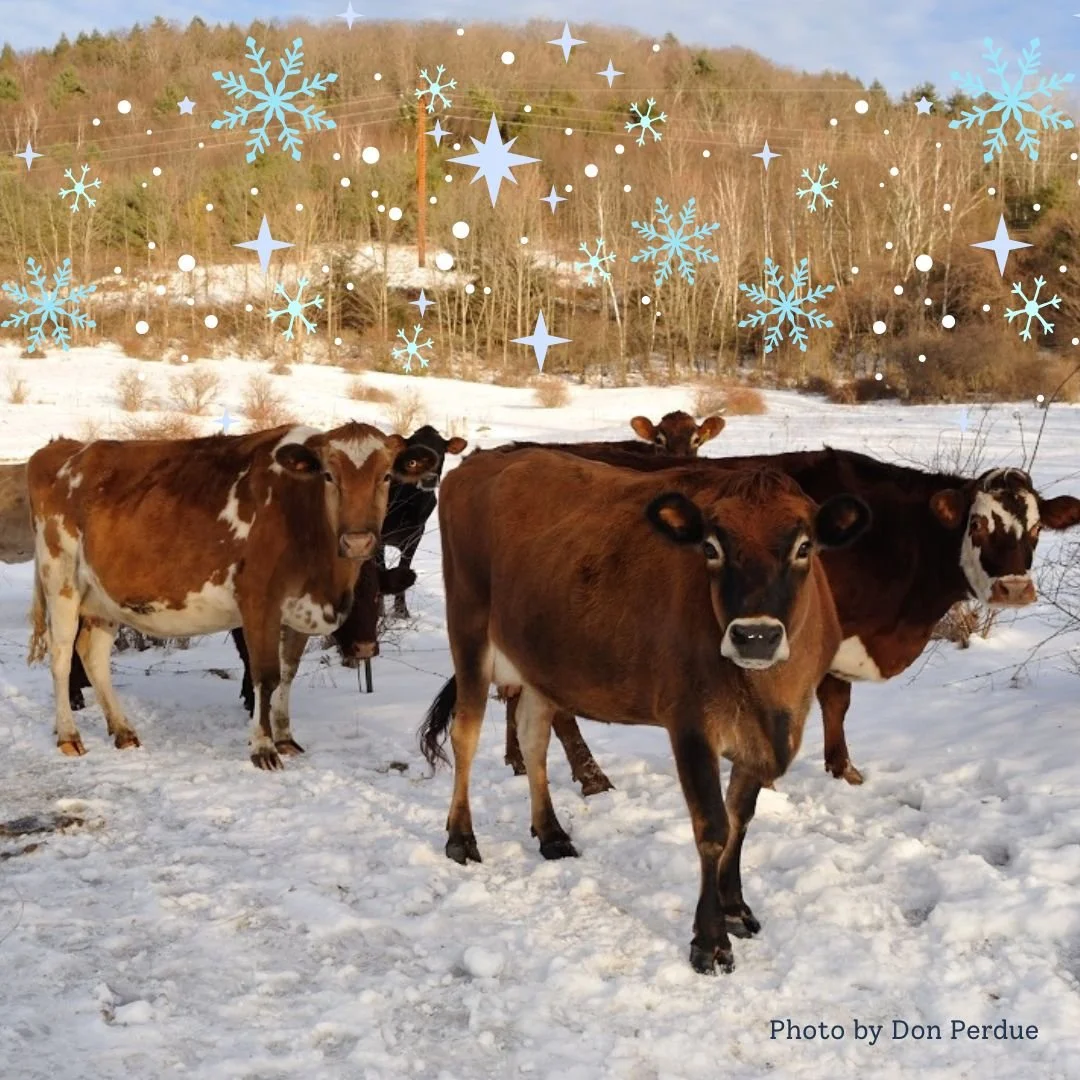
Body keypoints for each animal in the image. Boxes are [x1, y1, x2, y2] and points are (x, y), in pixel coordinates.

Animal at [26, 423, 438, 769]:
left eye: (386, 476)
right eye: (328, 475)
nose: (358, 541)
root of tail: (64, 448)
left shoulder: (298, 610)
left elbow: (288, 674)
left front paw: (286, 738)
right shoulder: (258, 602)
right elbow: (265, 675)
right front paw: (264, 749)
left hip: (104, 598)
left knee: (92, 655)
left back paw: (123, 730)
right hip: (61, 580)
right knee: (61, 655)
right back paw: (69, 735)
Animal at [419, 447, 870, 973]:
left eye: (804, 546)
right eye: (711, 548)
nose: (754, 635)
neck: (769, 695)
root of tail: (487, 459)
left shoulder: (766, 731)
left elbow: (741, 817)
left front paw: (736, 907)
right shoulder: (690, 724)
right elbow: (713, 827)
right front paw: (710, 941)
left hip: (538, 662)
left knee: (533, 739)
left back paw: (551, 833)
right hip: (468, 631)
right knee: (466, 735)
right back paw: (461, 837)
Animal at [495, 444, 1080, 790]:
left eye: (1034, 530)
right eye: (977, 525)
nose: (1014, 588)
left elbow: (837, 703)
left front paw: (843, 769)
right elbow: (821, 700)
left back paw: (522, 760)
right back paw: (590, 775)